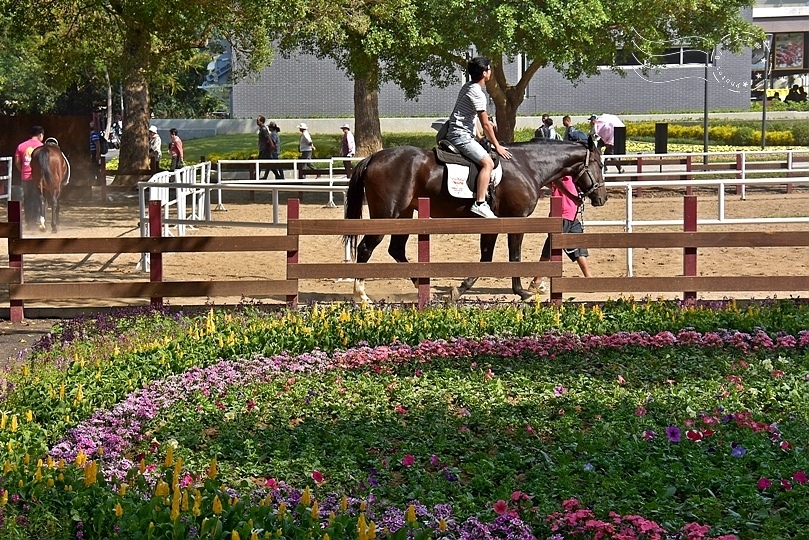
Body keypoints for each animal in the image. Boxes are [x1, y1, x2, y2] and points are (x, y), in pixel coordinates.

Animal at [344, 137, 608, 302]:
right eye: (599, 164)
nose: (602, 197)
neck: (527, 166)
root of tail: (373, 158)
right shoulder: (517, 220)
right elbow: (514, 258)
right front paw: (523, 293)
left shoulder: (493, 224)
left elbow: (486, 258)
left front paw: (460, 289)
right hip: (386, 216)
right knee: (366, 248)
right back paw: (361, 296)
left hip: (405, 216)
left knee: (396, 249)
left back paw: (422, 287)